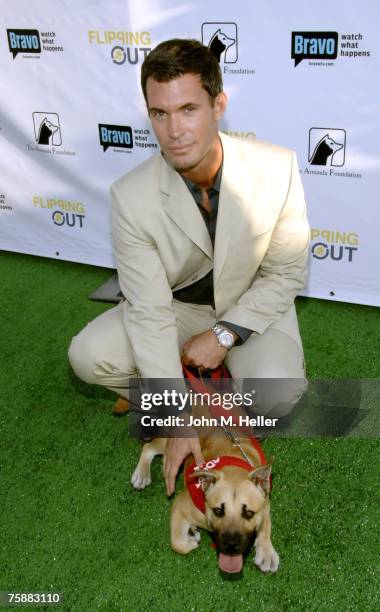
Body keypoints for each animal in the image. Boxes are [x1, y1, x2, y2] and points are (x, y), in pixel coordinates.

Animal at [131, 420, 280, 572]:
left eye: (249, 513)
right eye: (218, 511)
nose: (231, 545)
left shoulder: (265, 501)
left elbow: (266, 524)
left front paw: (266, 552)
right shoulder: (179, 505)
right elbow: (177, 542)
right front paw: (191, 539)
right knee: (149, 447)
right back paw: (141, 474)